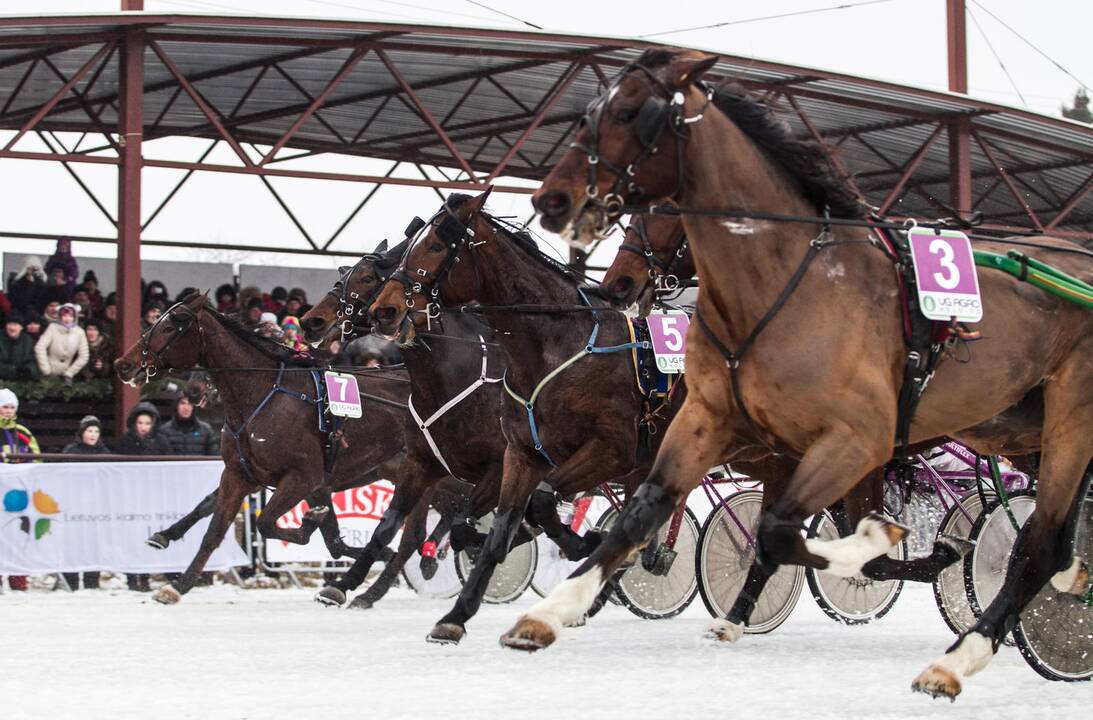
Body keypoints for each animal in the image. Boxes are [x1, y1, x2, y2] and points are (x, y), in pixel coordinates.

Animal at [113, 292, 410, 603]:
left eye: (171, 327)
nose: (123, 364)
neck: (264, 394)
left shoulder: (305, 478)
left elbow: (267, 523)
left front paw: (310, 525)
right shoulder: (241, 474)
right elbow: (213, 527)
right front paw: (178, 581)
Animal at [513, 49, 1093, 699]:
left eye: (631, 112)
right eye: (590, 110)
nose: (552, 201)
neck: (788, 284)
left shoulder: (857, 440)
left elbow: (781, 532)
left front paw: (875, 544)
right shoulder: (708, 419)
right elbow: (647, 511)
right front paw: (552, 610)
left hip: (1072, 421)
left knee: (1037, 544)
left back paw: (958, 657)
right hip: (1019, 430)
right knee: (1052, 538)